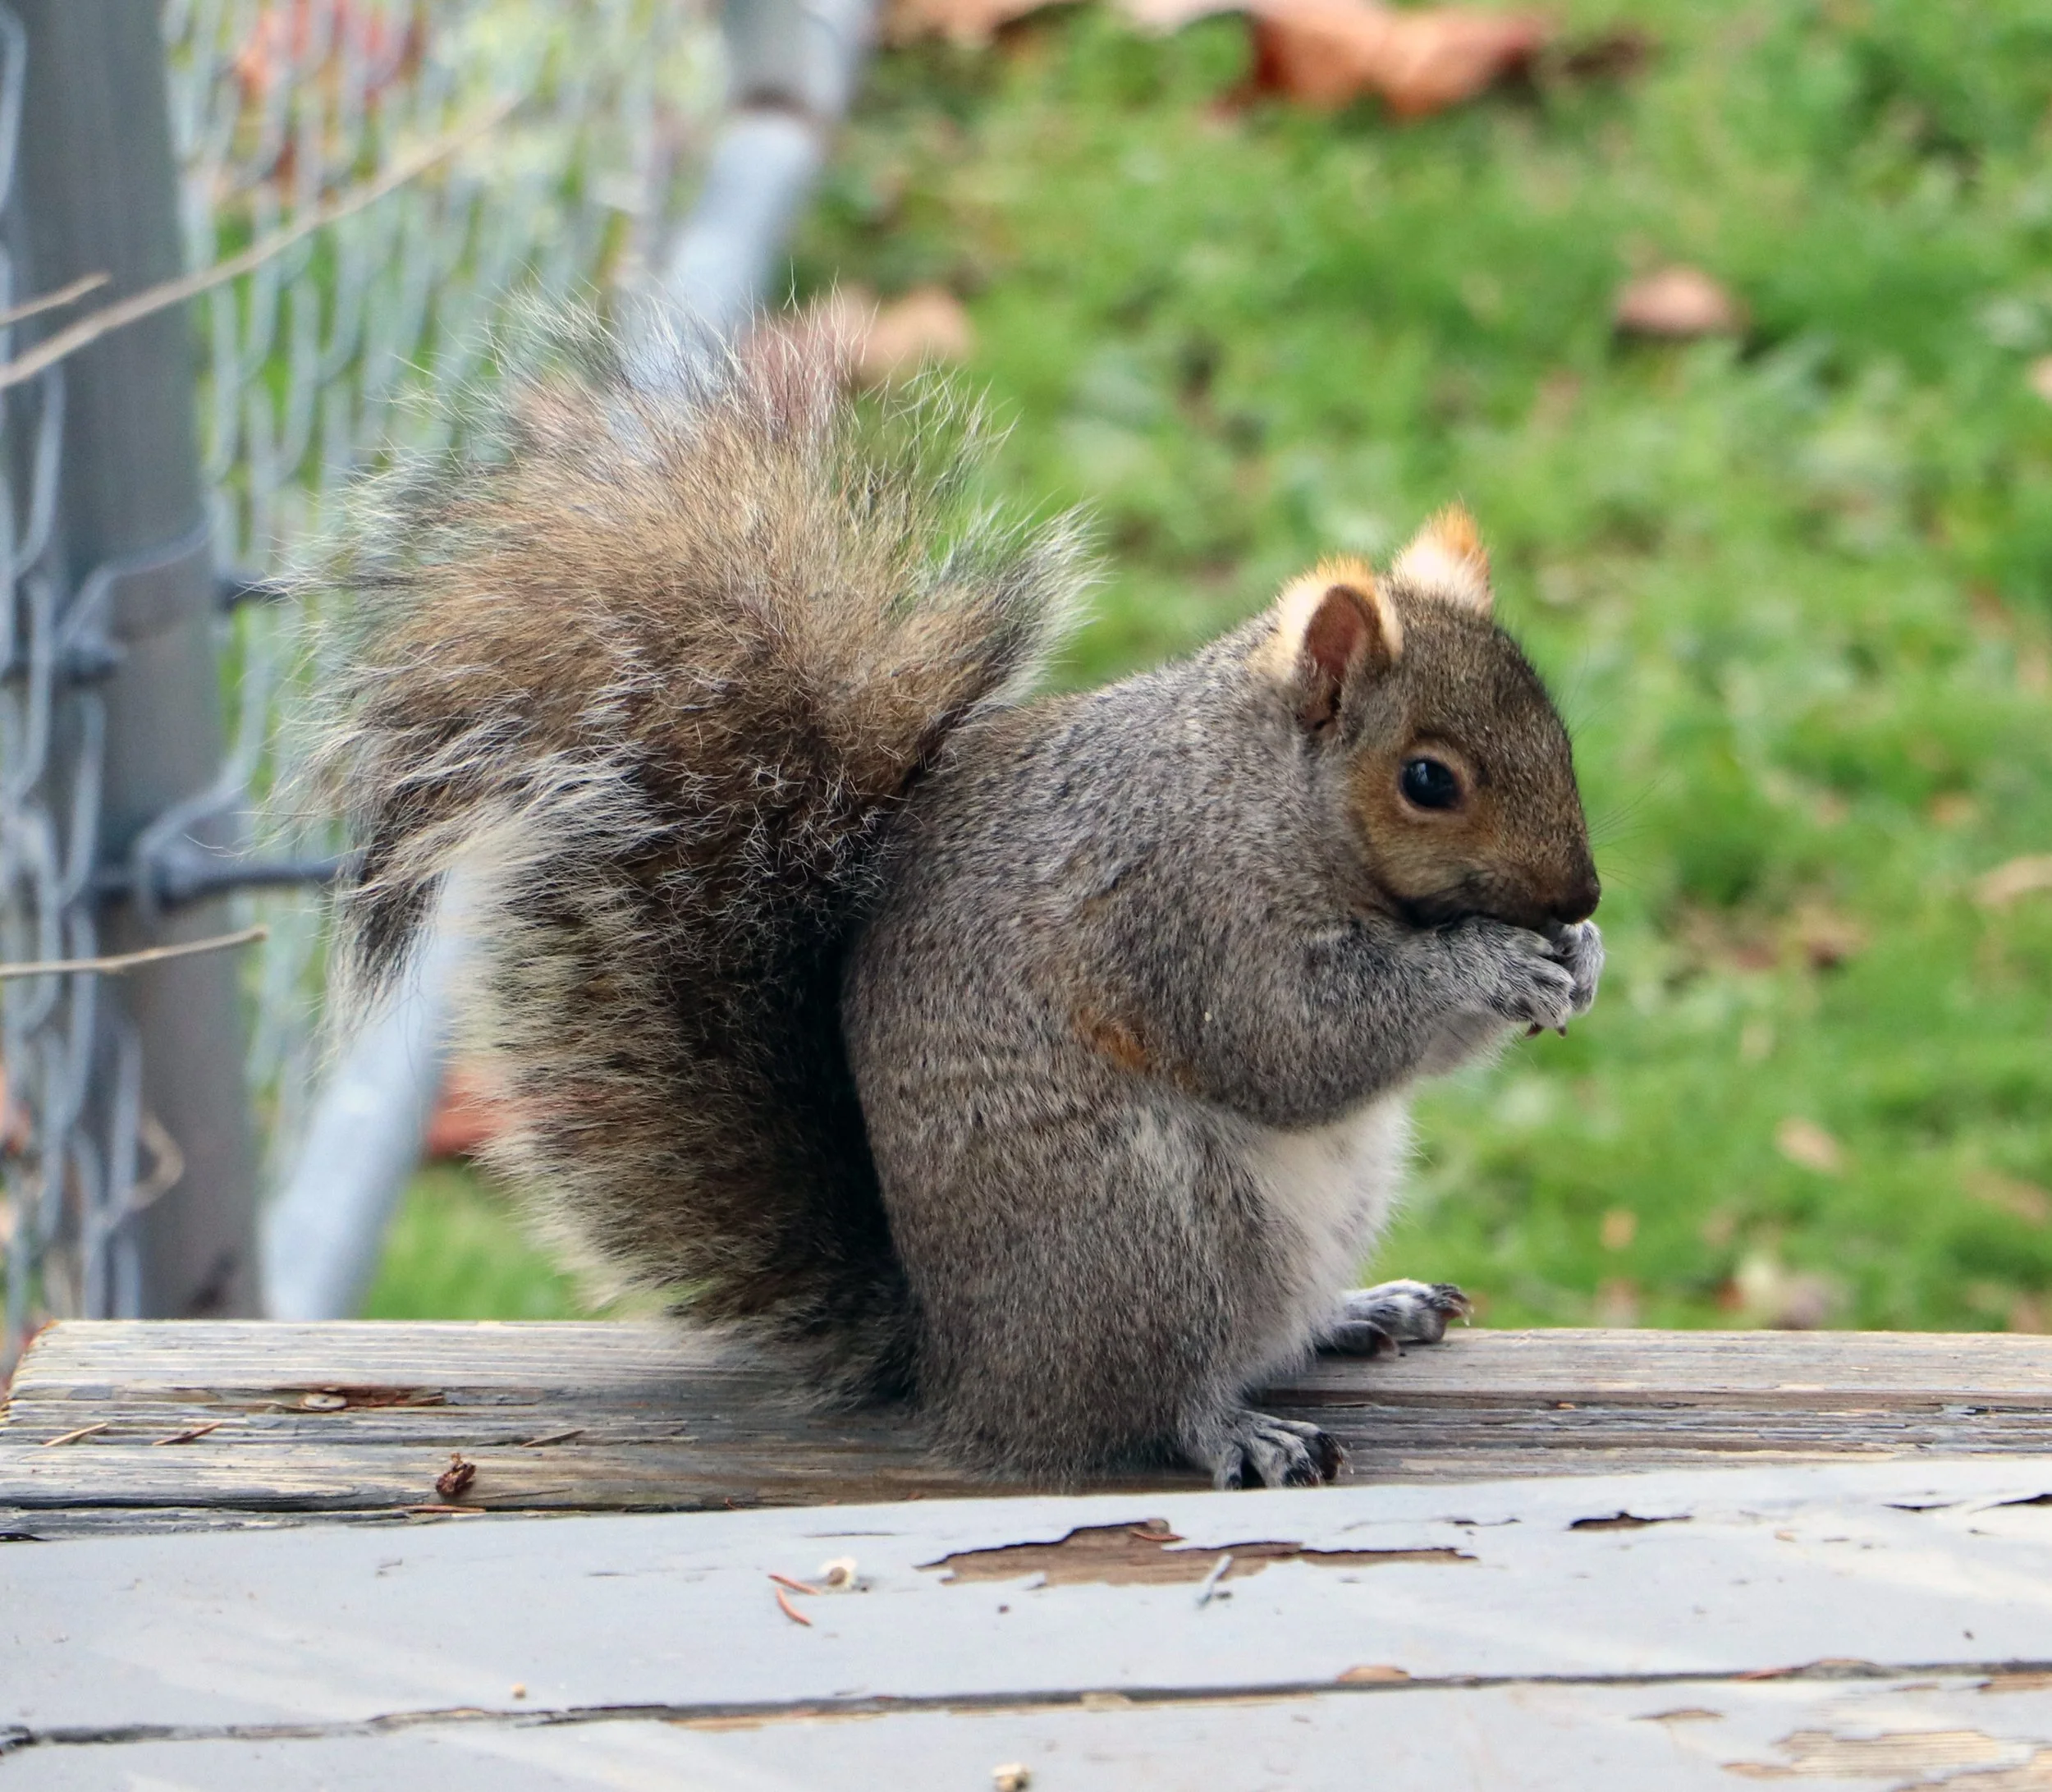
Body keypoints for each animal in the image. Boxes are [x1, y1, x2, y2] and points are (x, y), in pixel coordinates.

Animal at [316, 315, 1603, 1490]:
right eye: (1428, 780)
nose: (1583, 889)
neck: (1265, 792)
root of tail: (963, 1368)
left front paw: (1577, 954)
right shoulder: (1181, 904)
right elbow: (1291, 1040)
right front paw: (1492, 965)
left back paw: (1359, 1309)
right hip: (1143, 1237)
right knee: (1149, 1400)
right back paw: (1236, 1427)